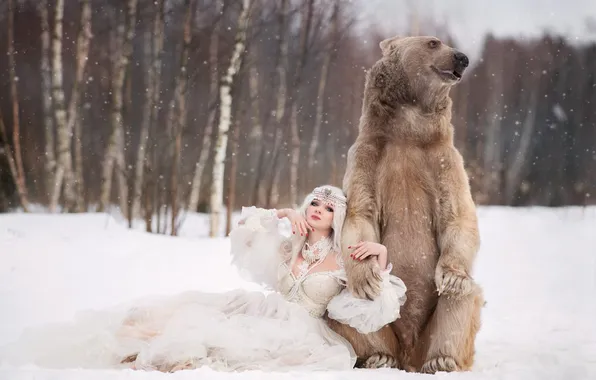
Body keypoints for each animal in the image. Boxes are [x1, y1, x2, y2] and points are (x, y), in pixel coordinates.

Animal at [326, 35, 484, 374]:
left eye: (443, 41)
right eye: (433, 42)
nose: (462, 58)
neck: (408, 130)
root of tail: (410, 353)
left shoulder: (444, 159)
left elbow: (458, 214)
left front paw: (451, 276)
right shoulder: (367, 156)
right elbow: (360, 214)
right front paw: (367, 277)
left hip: (433, 328)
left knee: (463, 297)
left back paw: (442, 359)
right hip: (386, 327)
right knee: (347, 306)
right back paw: (378, 356)